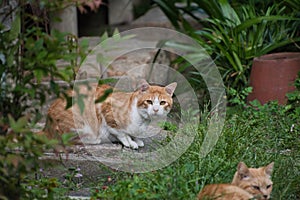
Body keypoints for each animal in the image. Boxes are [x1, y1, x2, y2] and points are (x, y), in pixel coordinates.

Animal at [43, 79, 177, 148]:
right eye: (149, 101)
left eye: (162, 102)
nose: (155, 109)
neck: (141, 120)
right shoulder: (107, 112)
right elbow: (121, 133)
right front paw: (130, 142)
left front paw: (136, 139)